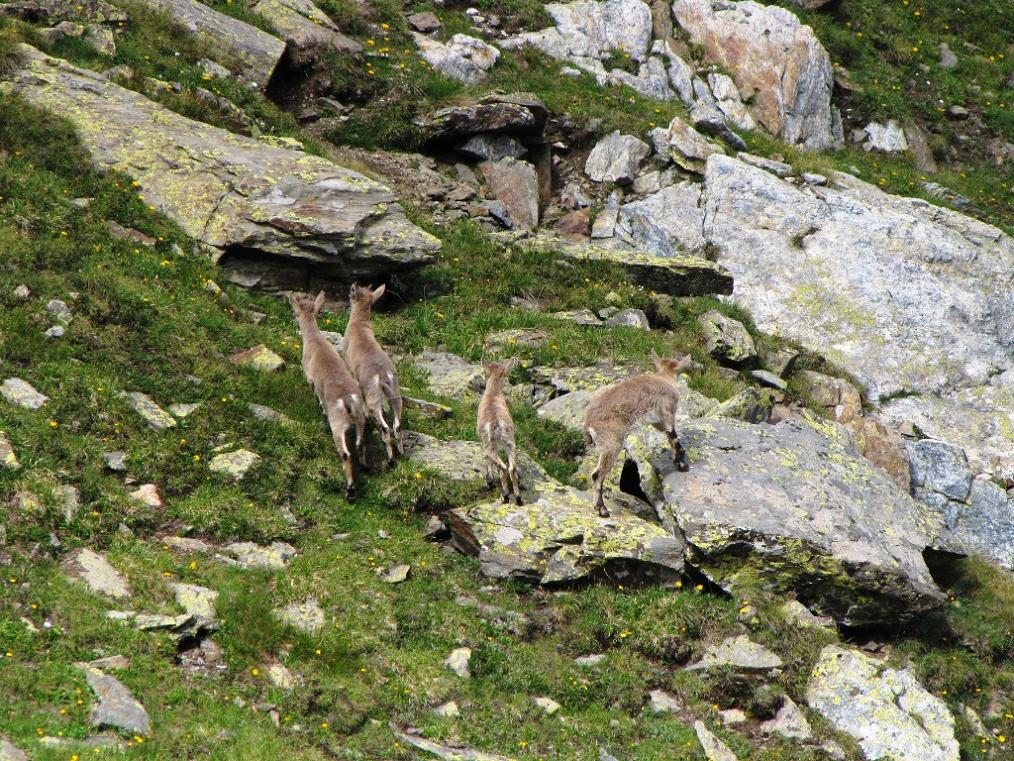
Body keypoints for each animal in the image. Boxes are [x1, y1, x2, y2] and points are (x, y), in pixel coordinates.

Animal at [290, 292, 369, 501]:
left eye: (295, 312)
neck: (315, 341)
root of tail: (349, 401)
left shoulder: (310, 377)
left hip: (339, 423)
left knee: (346, 453)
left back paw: (350, 490)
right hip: (360, 420)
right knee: (360, 444)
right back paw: (365, 467)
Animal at [342, 284, 401, 464]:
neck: (359, 326)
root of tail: (383, 377)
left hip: (373, 398)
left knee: (386, 427)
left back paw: (390, 459)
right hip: (395, 395)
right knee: (397, 425)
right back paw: (402, 452)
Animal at [476, 361, 523, 507]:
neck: (492, 395)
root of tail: (498, 425)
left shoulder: (483, 442)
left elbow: (487, 462)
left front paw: (489, 482)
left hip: (490, 446)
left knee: (502, 468)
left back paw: (505, 496)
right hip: (510, 444)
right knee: (512, 469)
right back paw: (518, 499)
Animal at [584, 353, 693, 519]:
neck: (664, 378)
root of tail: (589, 423)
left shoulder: (658, 421)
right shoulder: (667, 414)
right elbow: (673, 436)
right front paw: (682, 464)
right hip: (612, 444)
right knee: (597, 475)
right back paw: (602, 509)